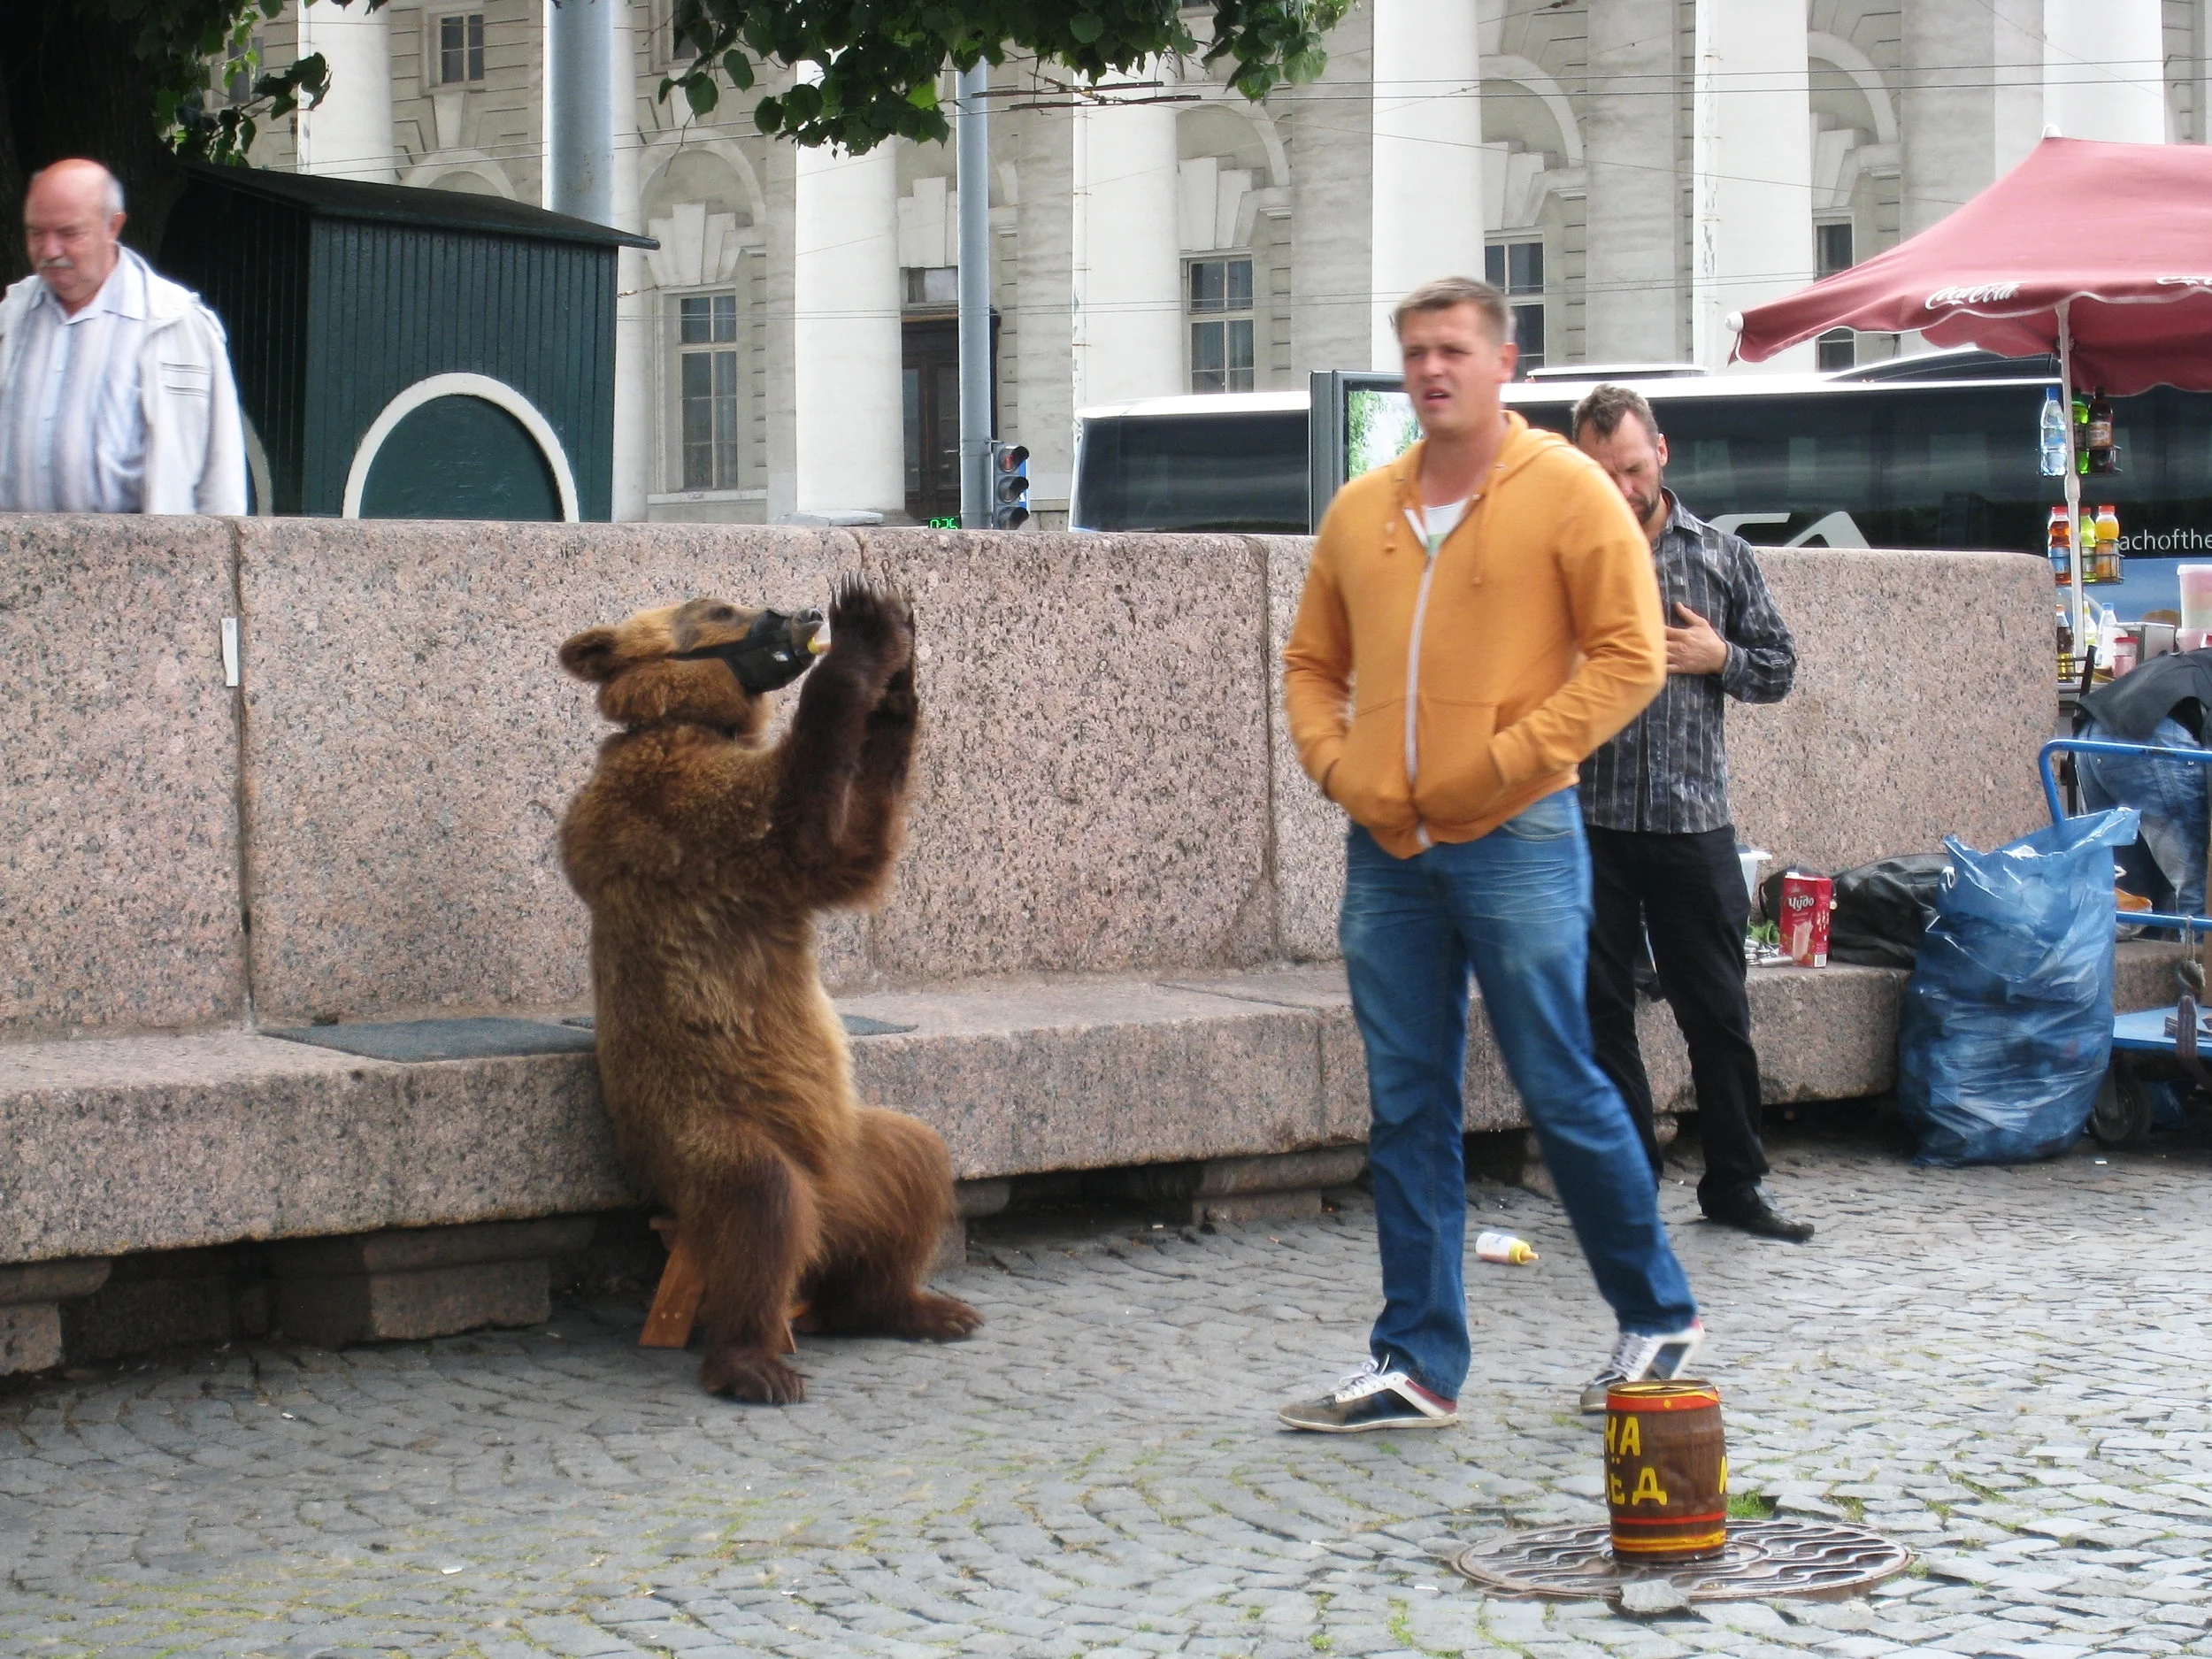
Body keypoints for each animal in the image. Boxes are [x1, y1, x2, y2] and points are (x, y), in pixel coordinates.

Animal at [556, 579, 981, 1403]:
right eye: (718, 608)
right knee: (760, 1210)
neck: (687, 717)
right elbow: (798, 826)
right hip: (706, 1131)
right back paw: (756, 1363)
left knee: (918, 1161)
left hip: (855, 1146)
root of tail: (830, 1204)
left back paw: (915, 1306)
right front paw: (862, 634)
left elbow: (856, 848)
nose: (805, 614)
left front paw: (899, 683)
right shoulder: (685, 807)